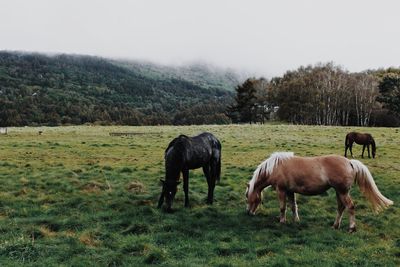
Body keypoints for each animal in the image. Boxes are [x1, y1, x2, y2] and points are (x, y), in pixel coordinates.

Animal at [245, 153, 392, 232]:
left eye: (247, 196)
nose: (249, 213)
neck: (275, 167)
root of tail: (350, 162)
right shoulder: (290, 191)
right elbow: (293, 206)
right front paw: (296, 220)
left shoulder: (281, 190)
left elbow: (282, 207)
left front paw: (282, 221)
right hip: (339, 192)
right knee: (341, 207)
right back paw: (335, 225)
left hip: (343, 192)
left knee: (350, 207)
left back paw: (351, 228)